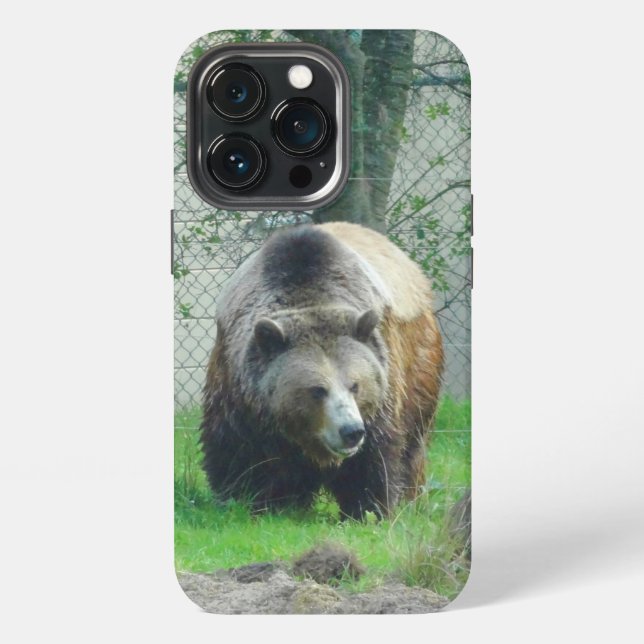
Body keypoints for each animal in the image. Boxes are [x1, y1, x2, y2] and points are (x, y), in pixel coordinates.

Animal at [200, 221, 443, 519]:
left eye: (355, 385)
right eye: (317, 390)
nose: (351, 431)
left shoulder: (384, 385)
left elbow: (374, 457)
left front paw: (368, 508)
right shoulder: (235, 385)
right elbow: (234, 451)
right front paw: (242, 498)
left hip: (420, 364)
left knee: (413, 443)